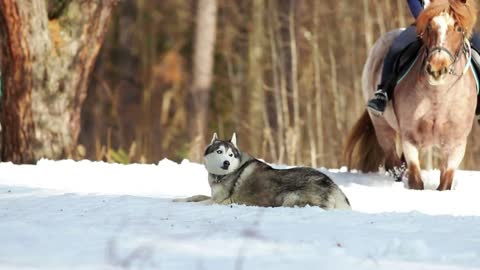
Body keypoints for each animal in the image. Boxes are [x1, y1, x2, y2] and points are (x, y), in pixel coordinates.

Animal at [174, 133, 350, 211]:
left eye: (230, 155)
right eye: (219, 152)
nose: (226, 162)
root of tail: (332, 185)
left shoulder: (221, 201)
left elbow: (200, 202)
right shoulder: (213, 196)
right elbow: (196, 196)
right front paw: (178, 199)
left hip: (289, 198)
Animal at [344, 0, 476, 190]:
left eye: (458, 28)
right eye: (429, 26)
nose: (437, 69)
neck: (438, 97)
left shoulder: (456, 145)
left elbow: (444, 184)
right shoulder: (410, 138)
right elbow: (416, 181)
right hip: (382, 126)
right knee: (392, 163)